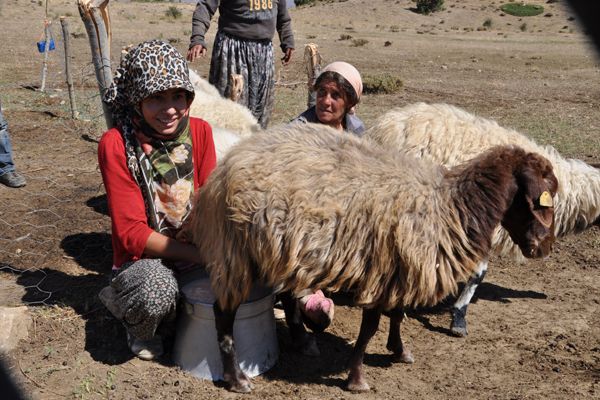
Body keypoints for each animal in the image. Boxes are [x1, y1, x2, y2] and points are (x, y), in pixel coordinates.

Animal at [184, 123, 556, 392]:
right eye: (540, 199)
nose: (543, 248)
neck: (452, 205)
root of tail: (226, 166)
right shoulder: (380, 270)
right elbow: (369, 328)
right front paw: (357, 378)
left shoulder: (399, 270)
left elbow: (398, 315)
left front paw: (399, 350)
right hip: (234, 250)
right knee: (223, 314)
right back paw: (237, 379)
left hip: (275, 251)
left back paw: (299, 341)